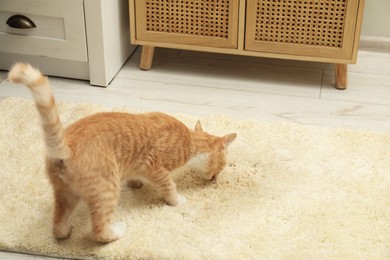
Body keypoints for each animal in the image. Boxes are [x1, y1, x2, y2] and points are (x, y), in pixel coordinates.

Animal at [7, 64, 236, 243]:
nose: (215, 178)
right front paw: (176, 200)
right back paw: (116, 232)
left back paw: (65, 231)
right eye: (223, 165)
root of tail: (67, 146)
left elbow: (134, 177)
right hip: (106, 188)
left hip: (66, 194)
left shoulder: (134, 166)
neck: (190, 141)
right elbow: (169, 186)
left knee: (58, 225)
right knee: (98, 229)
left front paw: (135, 183)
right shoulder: (156, 168)